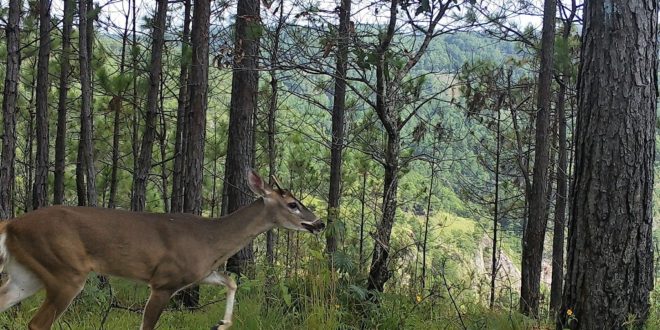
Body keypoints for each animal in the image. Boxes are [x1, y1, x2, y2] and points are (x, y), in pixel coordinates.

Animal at [0, 170, 322, 330]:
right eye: (293, 204)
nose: (318, 223)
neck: (211, 238)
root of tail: (11, 224)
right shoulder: (164, 281)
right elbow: (147, 326)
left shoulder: (197, 272)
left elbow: (231, 281)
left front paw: (221, 323)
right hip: (65, 269)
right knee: (37, 324)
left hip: (27, 274)